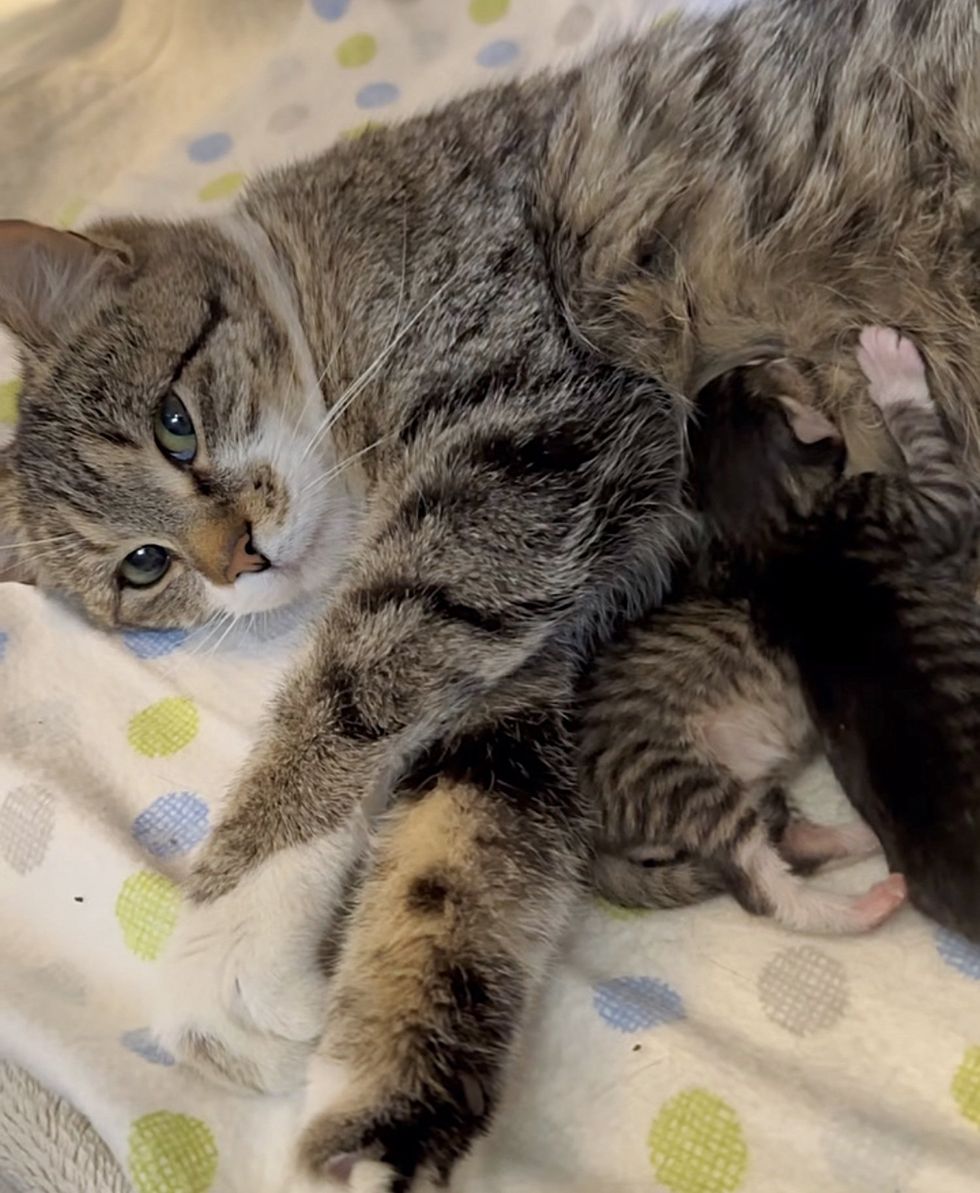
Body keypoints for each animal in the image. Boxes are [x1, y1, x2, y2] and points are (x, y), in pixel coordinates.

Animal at [580, 357, 892, 935]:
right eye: (766, 367)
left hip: (749, 783)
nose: (794, 358)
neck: (756, 529)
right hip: (679, 780)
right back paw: (865, 904)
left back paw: (859, 837)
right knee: (759, 884)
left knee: (787, 841)